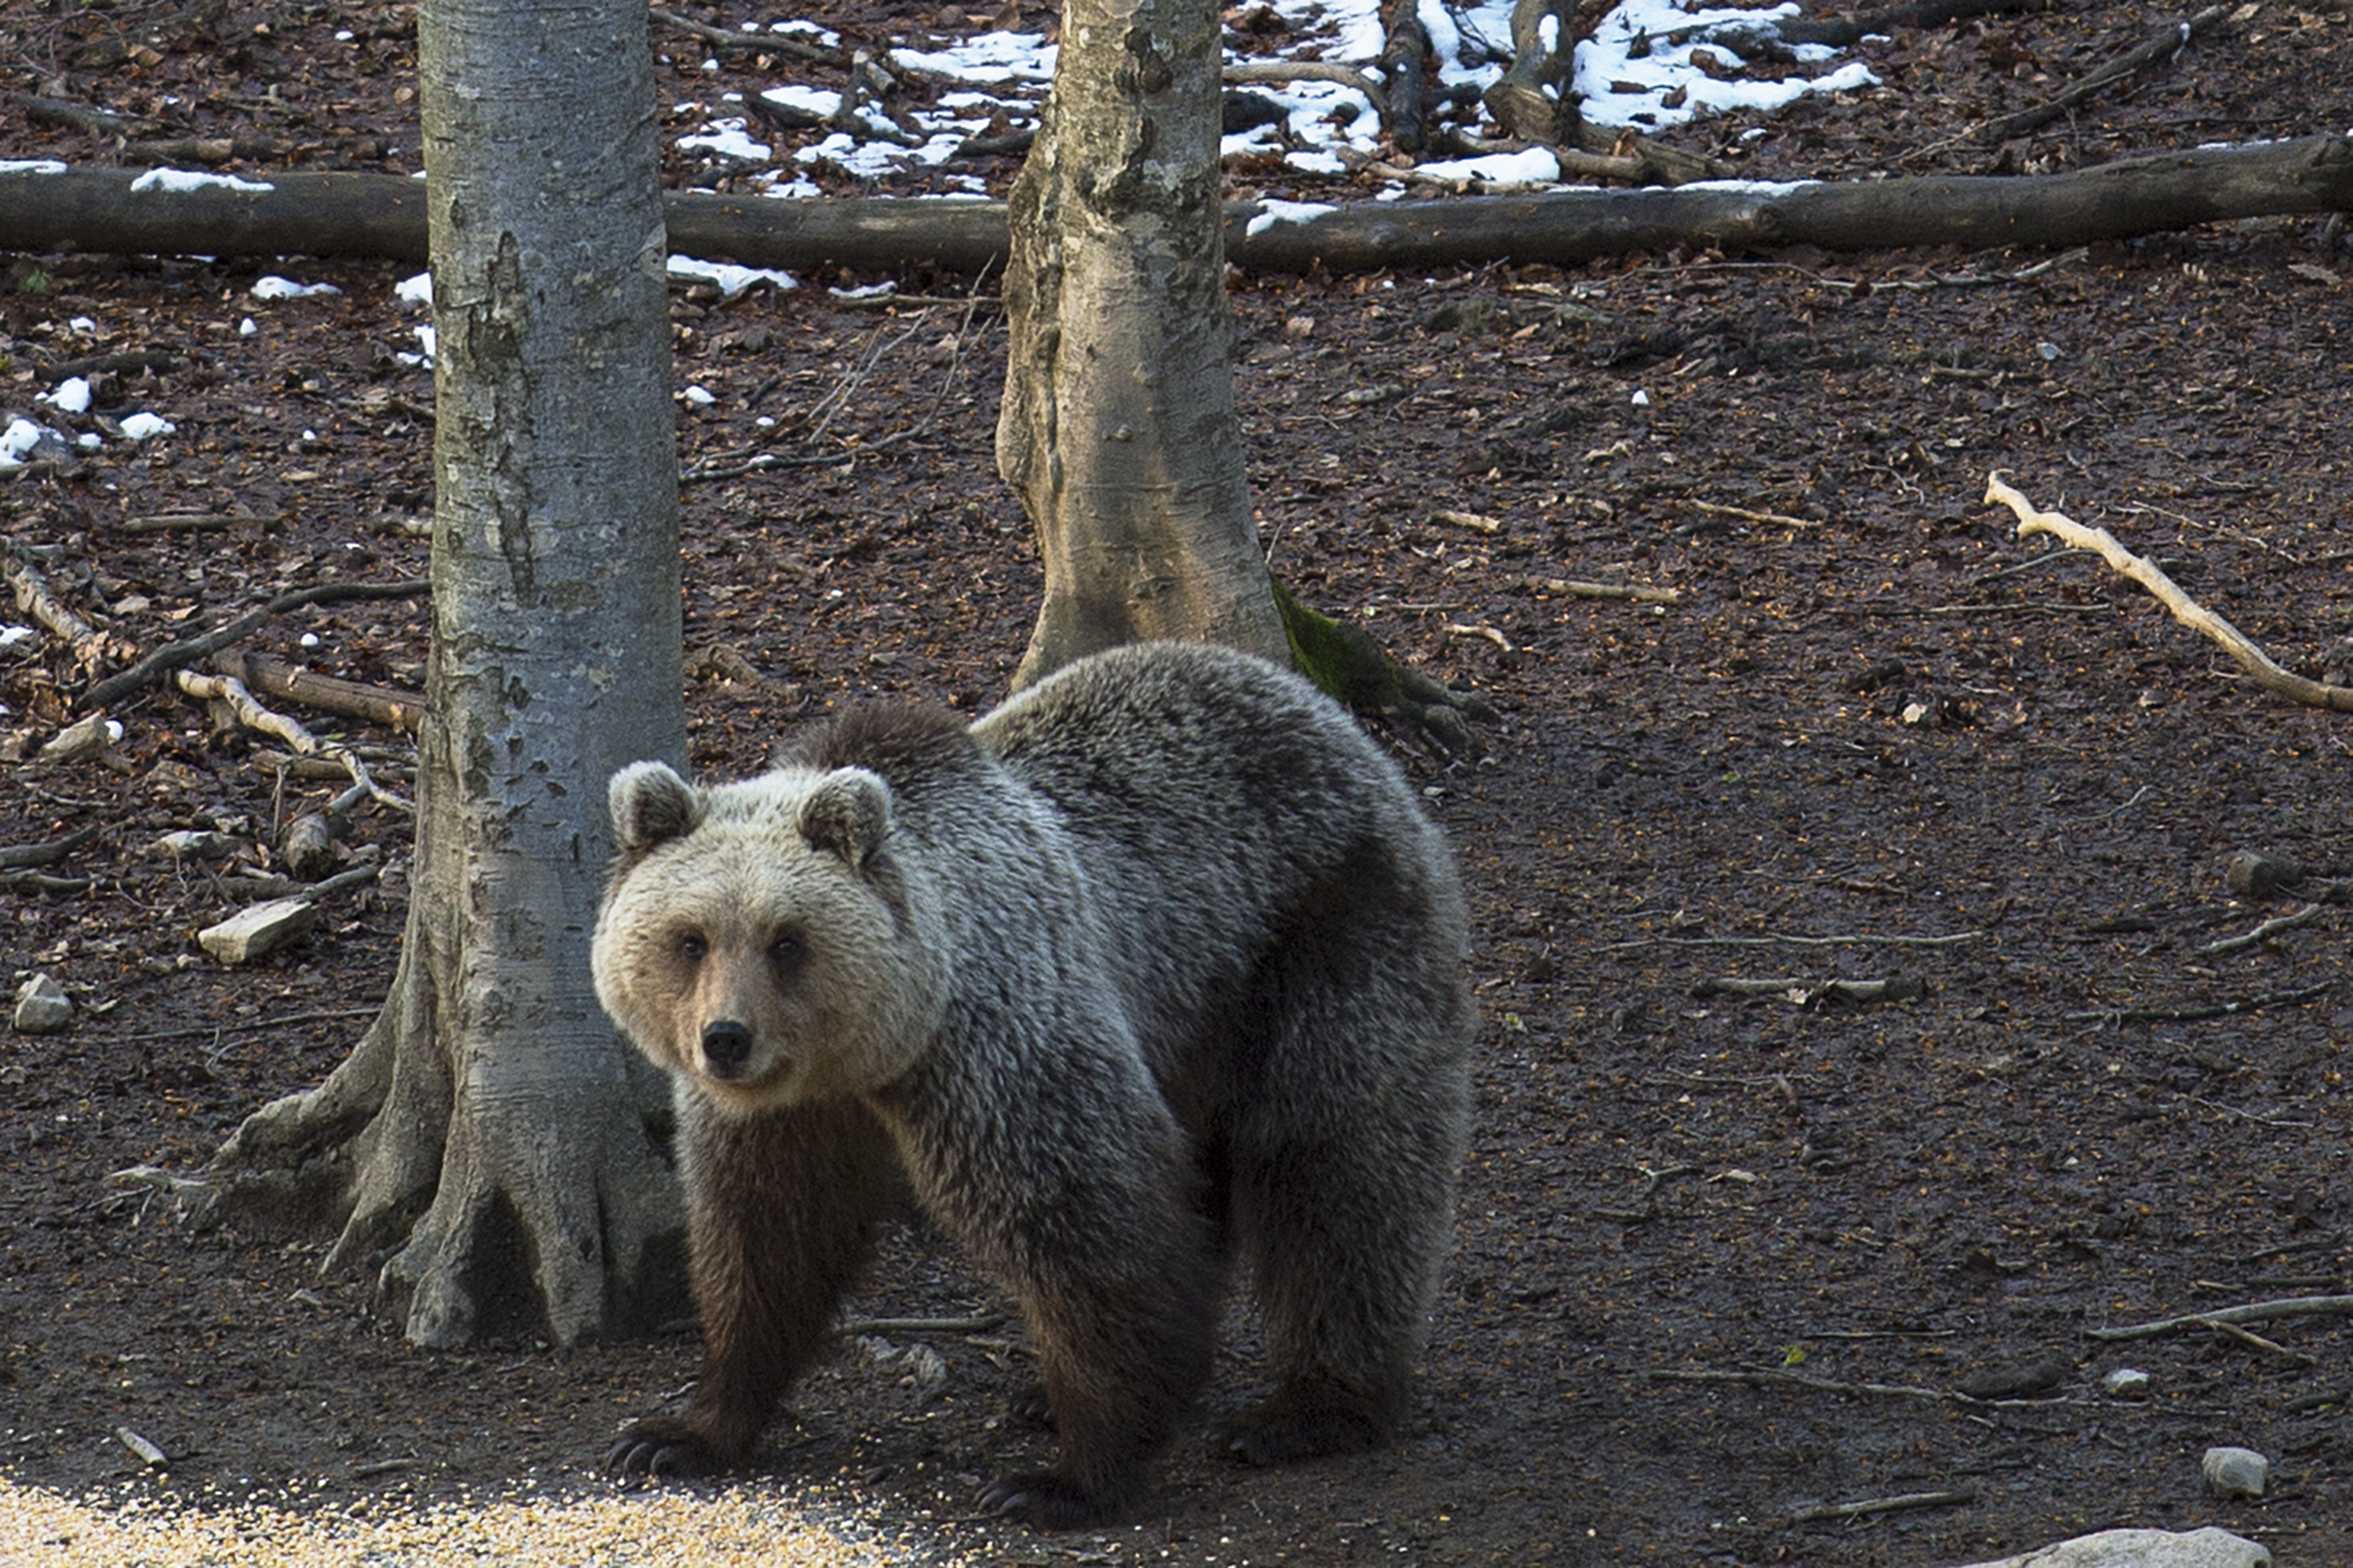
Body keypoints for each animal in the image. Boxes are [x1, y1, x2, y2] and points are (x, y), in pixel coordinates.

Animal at [588, 640, 1468, 1525]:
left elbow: (1090, 1223)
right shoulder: (783, 1117)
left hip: (1321, 945)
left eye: (786, 940)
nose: (726, 1039)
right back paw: (1058, 1394)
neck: (877, 1051)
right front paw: (678, 1431)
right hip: (1191, 1020)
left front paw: (1064, 1479)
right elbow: (768, 1240)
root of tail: (1329, 717)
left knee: (1338, 1172)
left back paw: (1309, 1410)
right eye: (691, 938)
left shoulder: (1000, 1046)